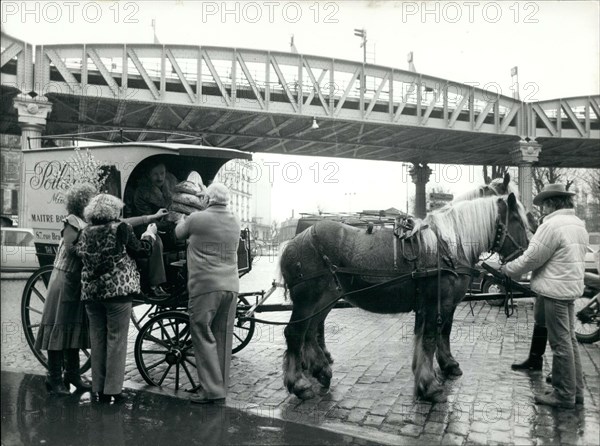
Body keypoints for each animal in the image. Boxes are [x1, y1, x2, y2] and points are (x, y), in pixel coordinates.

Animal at [278, 186, 528, 402]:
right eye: (518, 221)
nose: (525, 252)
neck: (449, 246)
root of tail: (294, 241)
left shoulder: (433, 306)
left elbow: (428, 339)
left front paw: (431, 375)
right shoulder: (437, 304)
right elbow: (431, 339)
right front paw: (430, 386)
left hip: (325, 300)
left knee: (310, 332)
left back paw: (321, 370)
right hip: (308, 301)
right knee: (295, 333)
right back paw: (299, 384)